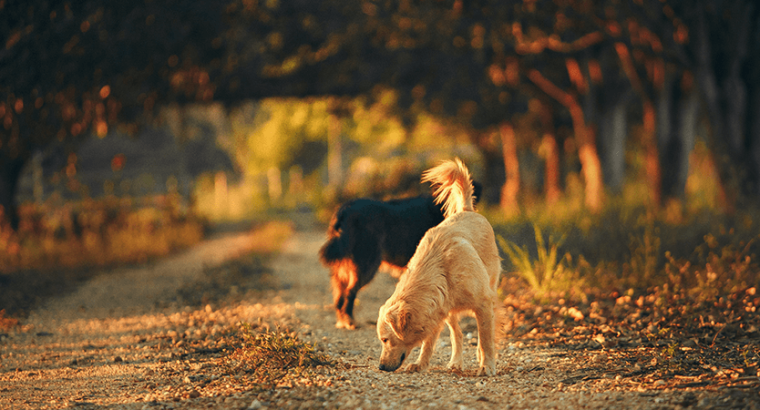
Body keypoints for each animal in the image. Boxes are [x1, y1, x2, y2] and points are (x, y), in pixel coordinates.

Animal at [320, 183, 480, 330]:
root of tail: (345, 208)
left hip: (344, 268)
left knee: (339, 297)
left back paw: (343, 321)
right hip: (367, 264)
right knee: (349, 293)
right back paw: (350, 321)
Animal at [378, 159, 502, 376]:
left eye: (385, 339)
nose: (381, 367)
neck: (440, 268)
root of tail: (467, 210)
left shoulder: (483, 303)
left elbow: (486, 340)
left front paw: (487, 366)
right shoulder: (437, 309)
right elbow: (429, 342)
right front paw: (421, 363)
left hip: (491, 291)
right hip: (449, 312)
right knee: (457, 335)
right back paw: (455, 362)